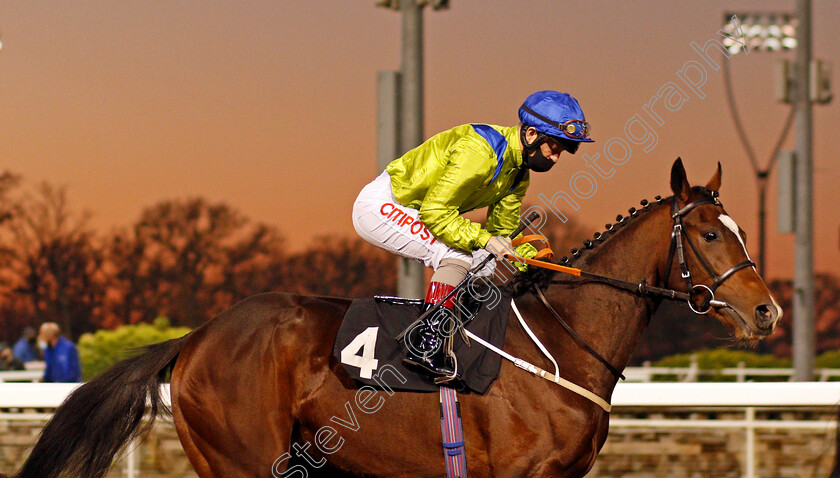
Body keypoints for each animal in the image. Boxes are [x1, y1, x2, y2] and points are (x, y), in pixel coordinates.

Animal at [6, 159, 780, 476]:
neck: (561, 346)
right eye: (707, 235)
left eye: (741, 229)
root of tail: (197, 336)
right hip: (243, 457)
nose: (767, 310)